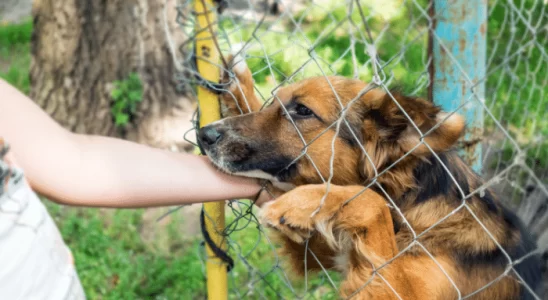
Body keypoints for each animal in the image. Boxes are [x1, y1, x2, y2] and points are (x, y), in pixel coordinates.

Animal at [198, 52, 544, 298]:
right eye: (274, 102)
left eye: (303, 111)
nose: (204, 135)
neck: (408, 203)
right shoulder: (326, 254)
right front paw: (237, 82)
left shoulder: (403, 289)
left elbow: (370, 200)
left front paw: (302, 202)